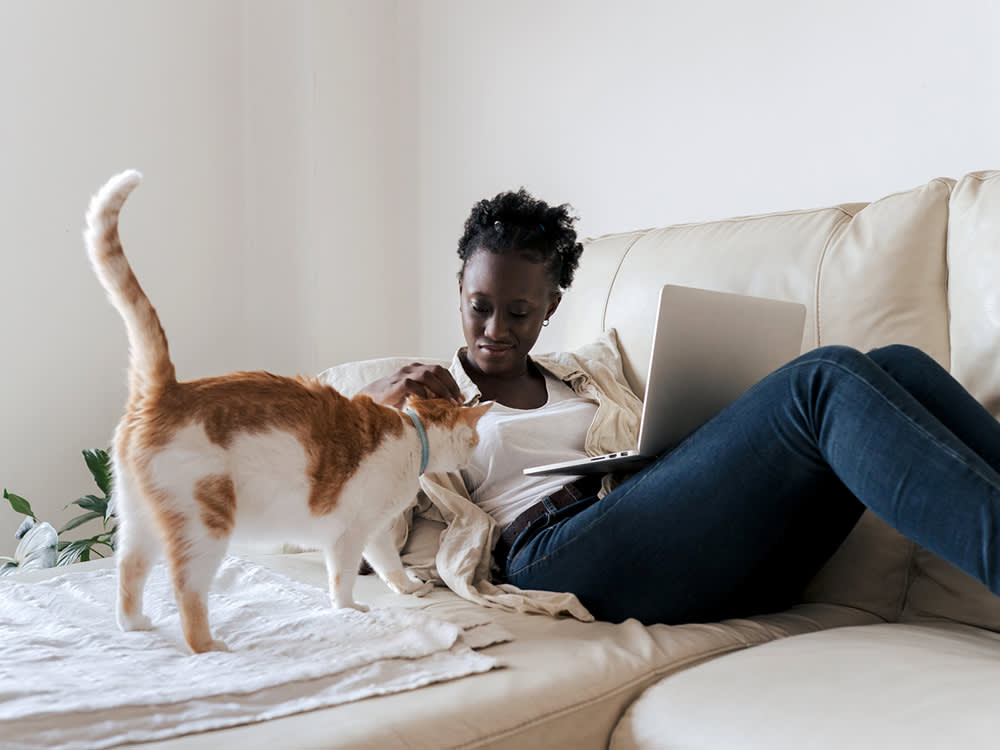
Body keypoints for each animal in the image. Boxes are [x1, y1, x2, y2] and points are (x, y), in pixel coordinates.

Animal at [86, 173, 492, 656]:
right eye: (475, 438)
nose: (474, 456)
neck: (413, 437)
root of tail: (168, 390)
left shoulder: (373, 531)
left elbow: (388, 564)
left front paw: (408, 588)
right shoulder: (349, 532)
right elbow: (343, 576)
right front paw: (350, 610)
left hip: (137, 520)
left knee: (128, 570)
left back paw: (135, 625)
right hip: (205, 525)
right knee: (185, 587)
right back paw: (208, 646)